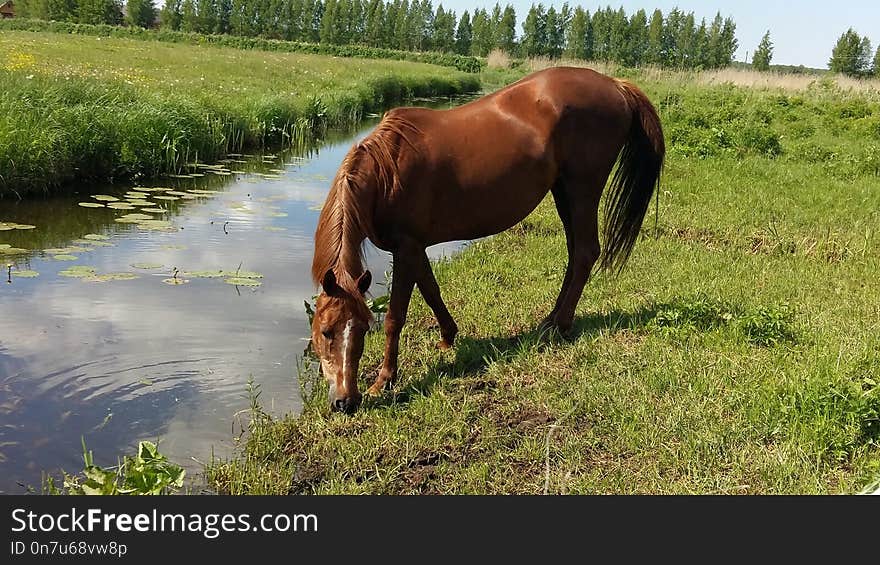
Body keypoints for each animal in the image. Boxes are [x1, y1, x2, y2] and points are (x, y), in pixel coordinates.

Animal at [308, 66, 660, 412]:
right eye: (326, 331)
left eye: (364, 328)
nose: (345, 402)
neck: (386, 173)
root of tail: (616, 84)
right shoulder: (415, 248)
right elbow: (431, 290)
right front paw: (448, 337)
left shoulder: (405, 248)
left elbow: (396, 316)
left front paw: (384, 380)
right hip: (564, 192)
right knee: (575, 253)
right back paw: (550, 320)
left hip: (582, 189)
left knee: (586, 252)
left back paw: (560, 325)